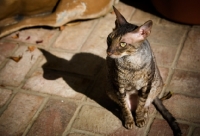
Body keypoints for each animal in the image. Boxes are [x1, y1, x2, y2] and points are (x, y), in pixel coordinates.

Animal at [105, 5, 182, 135]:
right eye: (109, 39)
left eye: (123, 44)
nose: (109, 52)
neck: (131, 63)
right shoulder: (119, 87)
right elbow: (125, 106)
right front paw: (129, 120)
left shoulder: (146, 86)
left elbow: (141, 105)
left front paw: (139, 119)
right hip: (110, 89)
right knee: (124, 106)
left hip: (156, 85)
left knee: (147, 103)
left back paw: (144, 112)